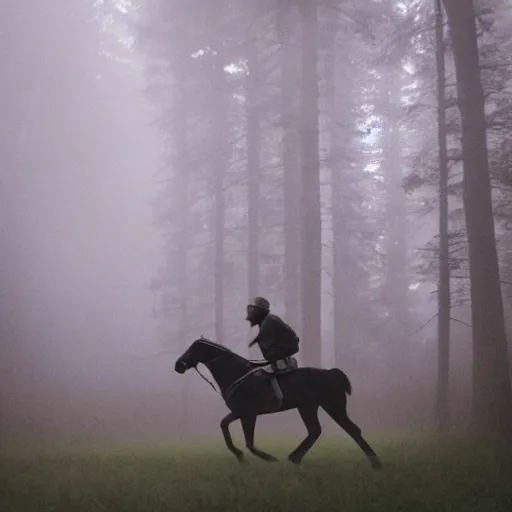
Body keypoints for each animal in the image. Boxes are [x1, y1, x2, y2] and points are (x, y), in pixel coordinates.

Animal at [174, 336, 382, 468]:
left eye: (193, 349)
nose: (178, 365)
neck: (237, 373)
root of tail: (332, 373)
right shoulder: (238, 413)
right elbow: (224, 426)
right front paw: (240, 456)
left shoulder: (249, 415)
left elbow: (250, 443)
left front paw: (269, 458)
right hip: (308, 407)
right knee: (314, 431)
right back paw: (295, 458)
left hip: (333, 406)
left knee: (352, 430)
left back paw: (375, 463)